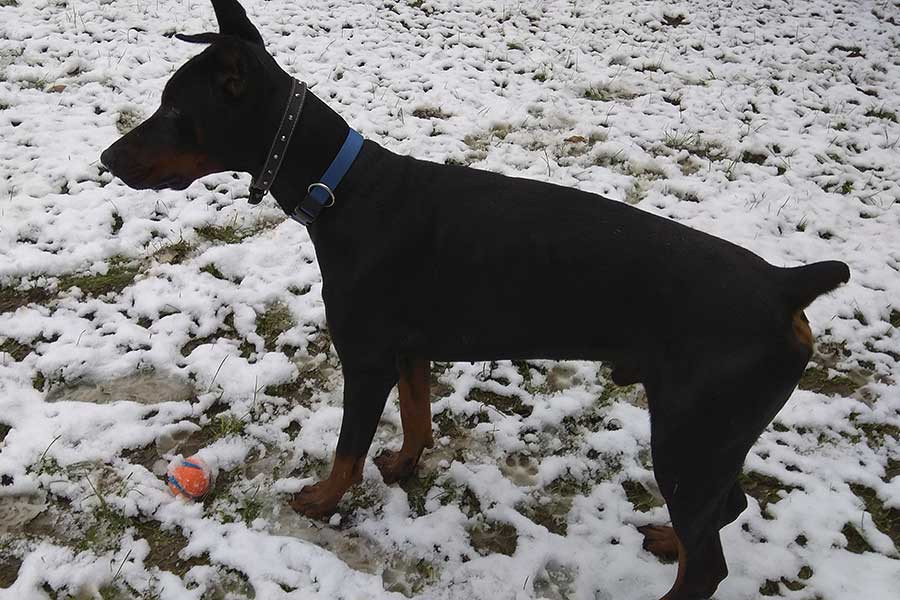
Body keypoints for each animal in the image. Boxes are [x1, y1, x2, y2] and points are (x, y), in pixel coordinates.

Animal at [100, 1, 850, 598]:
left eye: (175, 111)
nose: (106, 159)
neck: (340, 191)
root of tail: (785, 282)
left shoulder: (365, 356)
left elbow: (347, 448)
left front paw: (320, 500)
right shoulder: (409, 351)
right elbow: (417, 417)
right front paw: (404, 464)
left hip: (691, 434)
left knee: (709, 565)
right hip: (712, 441)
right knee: (722, 512)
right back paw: (670, 539)